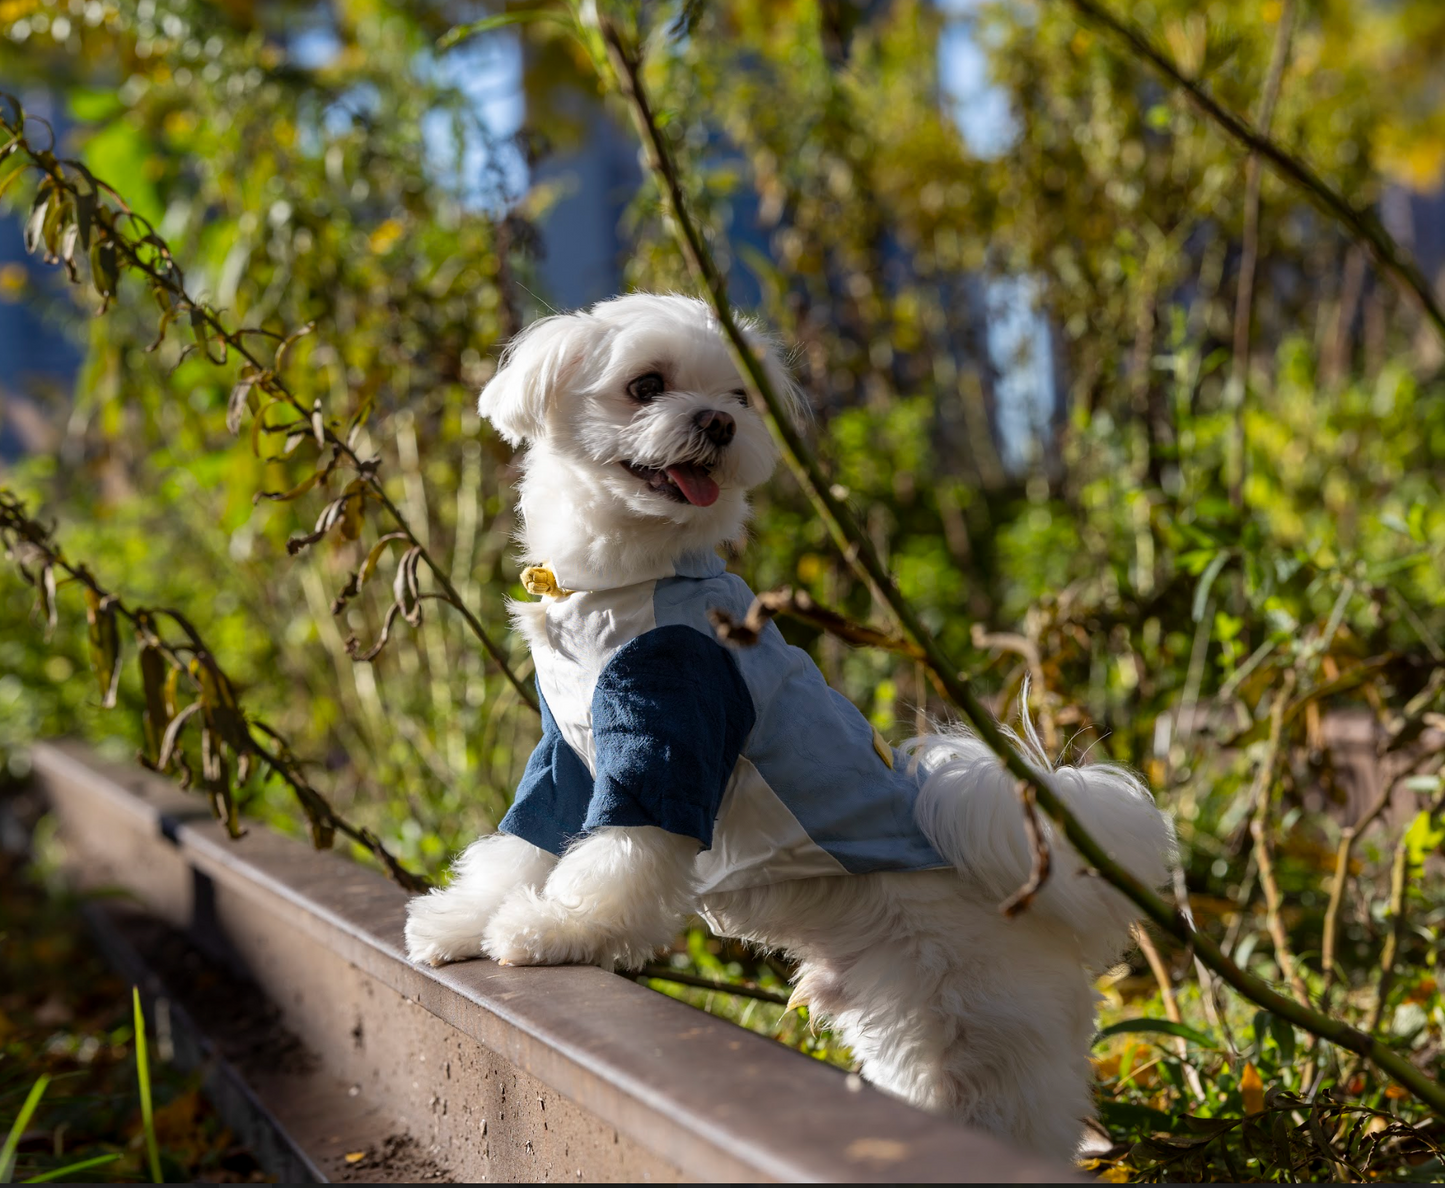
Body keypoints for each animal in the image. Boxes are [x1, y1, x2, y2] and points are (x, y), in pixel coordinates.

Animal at [407, 290, 1173, 1161]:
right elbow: (520, 845)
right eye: (646, 385)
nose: (717, 423)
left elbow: (617, 856)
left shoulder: (669, 731)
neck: (626, 583)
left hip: (994, 1035)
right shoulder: (565, 756)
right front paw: (459, 921)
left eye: (739, 396)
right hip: (913, 1031)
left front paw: (551, 930)